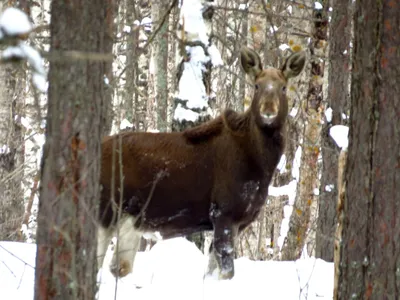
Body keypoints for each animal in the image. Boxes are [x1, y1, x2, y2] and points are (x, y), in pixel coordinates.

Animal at [97, 45, 306, 280]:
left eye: (283, 87)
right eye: (257, 85)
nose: (268, 110)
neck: (261, 165)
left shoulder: (239, 220)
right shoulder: (223, 212)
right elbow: (226, 270)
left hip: (128, 221)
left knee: (117, 267)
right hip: (106, 214)